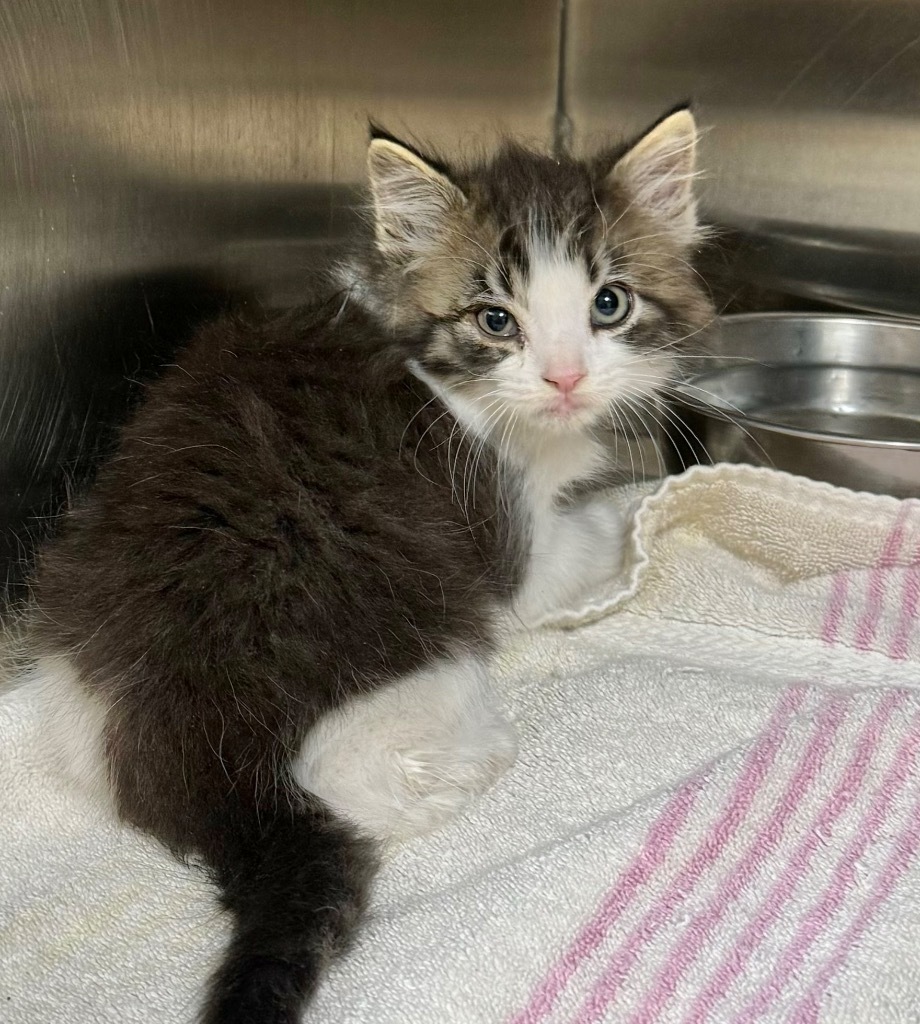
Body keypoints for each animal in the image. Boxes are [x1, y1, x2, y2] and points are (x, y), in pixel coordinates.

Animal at [21, 110, 708, 1024]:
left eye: (610, 303)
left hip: (72, 680)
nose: (566, 379)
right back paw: (477, 762)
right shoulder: (514, 542)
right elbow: (608, 522)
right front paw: (662, 493)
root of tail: (209, 763)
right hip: (412, 664)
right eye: (495, 320)